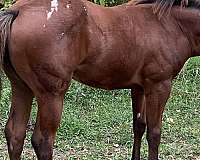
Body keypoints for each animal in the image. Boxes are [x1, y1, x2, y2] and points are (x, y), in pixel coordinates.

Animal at [0, 0, 199, 159]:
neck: (169, 24)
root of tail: (18, 10)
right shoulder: (159, 86)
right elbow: (154, 133)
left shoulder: (140, 87)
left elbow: (139, 126)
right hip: (51, 94)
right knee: (43, 141)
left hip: (21, 87)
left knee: (15, 135)